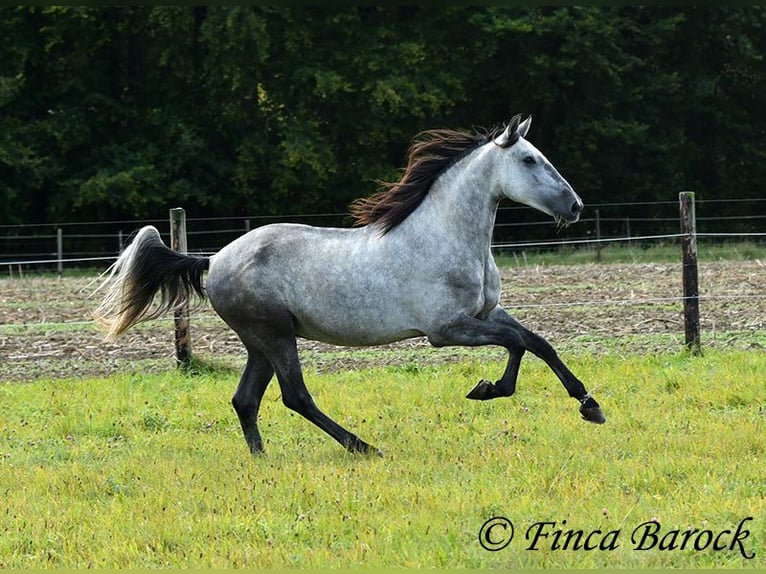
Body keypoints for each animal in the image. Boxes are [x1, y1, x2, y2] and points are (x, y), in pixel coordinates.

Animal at [94, 115, 608, 460]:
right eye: (529, 159)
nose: (576, 206)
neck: (445, 236)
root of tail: (214, 259)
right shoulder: (447, 330)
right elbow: (518, 343)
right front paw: (487, 390)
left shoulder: (485, 314)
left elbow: (538, 343)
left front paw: (590, 406)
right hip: (274, 335)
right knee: (295, 396)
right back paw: (364, 448)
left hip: (259, 341)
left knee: (245, 399)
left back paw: (263, 459)